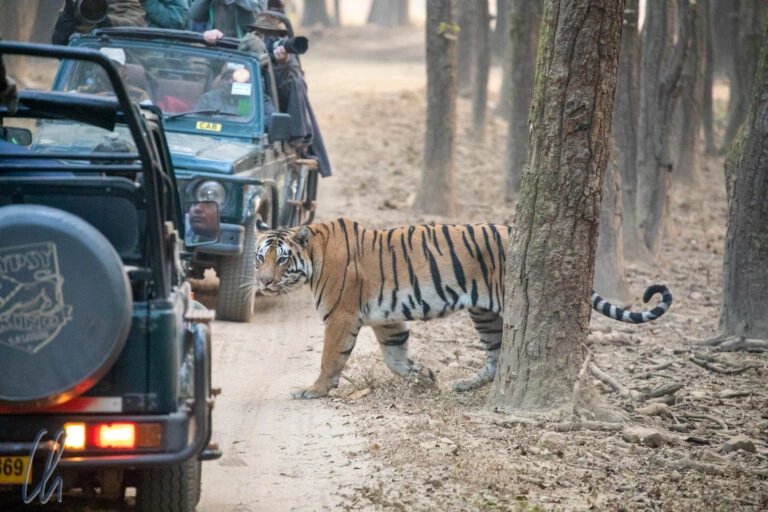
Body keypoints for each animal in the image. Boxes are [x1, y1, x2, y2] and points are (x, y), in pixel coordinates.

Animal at [252, 218, 672, 398]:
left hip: (501, 306)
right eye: (259, 258)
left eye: (282, 260)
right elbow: (395, 358)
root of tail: (513, 227)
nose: (264, 282)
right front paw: (424, 376)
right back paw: (464, 383)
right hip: (484, 314)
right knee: (497, 356)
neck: (314, 256)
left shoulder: (341, 316)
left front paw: (315, 390)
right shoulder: (387, 320)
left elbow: (329, 358)